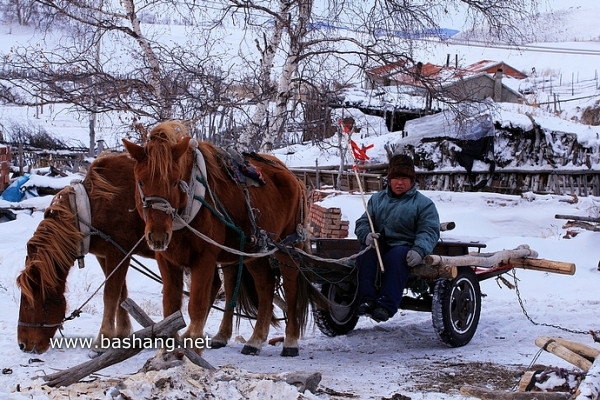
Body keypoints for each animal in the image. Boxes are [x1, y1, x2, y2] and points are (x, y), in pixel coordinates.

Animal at [123, 121, 318, 356]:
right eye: (141, 182)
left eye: (175, 182)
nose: (158, 235)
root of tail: (292, 176)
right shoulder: (167, 260)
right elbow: (170, 307)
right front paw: (166, 352)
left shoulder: (204, 258)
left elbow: (197, 305)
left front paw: (191, 351)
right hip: (252, 250)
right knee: (265, 285)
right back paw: (253, 339)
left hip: (286, 247)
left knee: (290, 287)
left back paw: (290, 341)